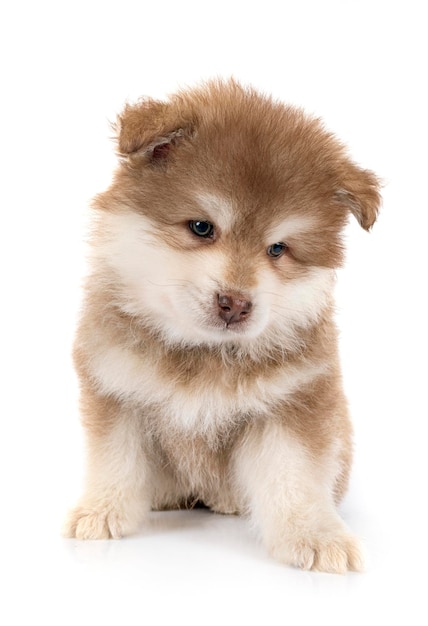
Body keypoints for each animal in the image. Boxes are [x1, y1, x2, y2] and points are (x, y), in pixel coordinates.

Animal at [64, 80, 382, 572]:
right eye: (201, 227)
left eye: (277, 249)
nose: (235, 304)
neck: (201, 351)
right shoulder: (117, 392)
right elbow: (116, 459)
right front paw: (101, 510)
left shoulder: (292, 405)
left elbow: (295, 478)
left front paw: (317, 535)